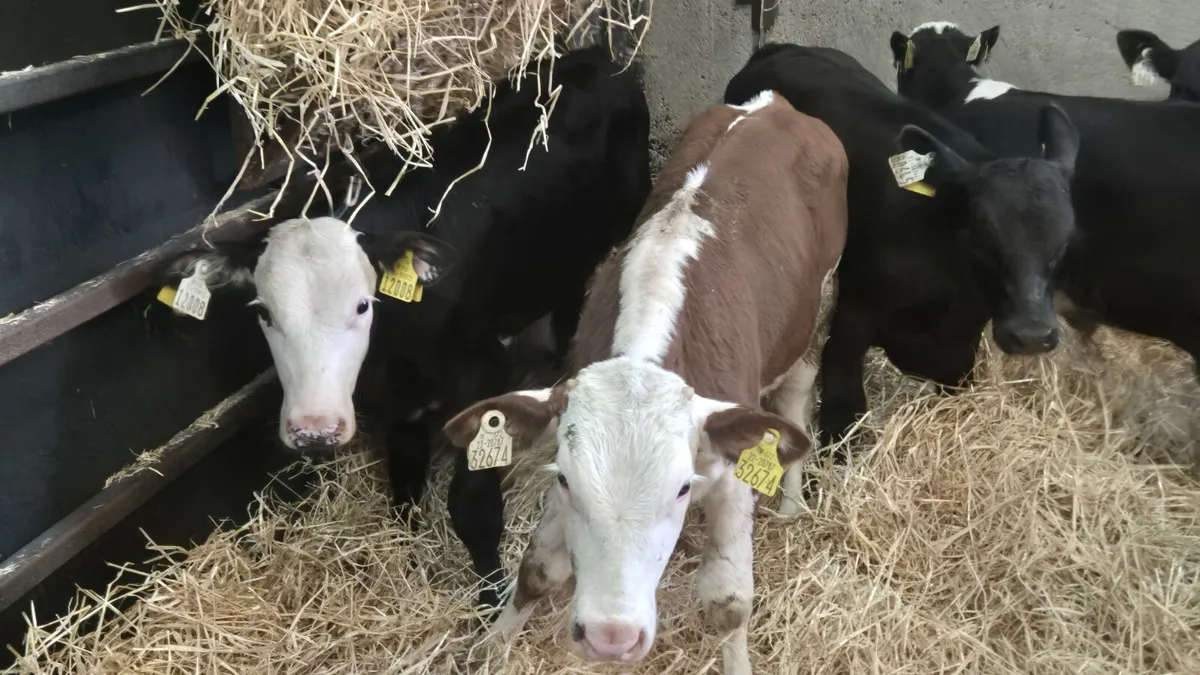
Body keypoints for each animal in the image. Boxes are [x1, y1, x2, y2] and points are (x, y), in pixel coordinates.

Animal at [152, 44, 652, 610]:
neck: (393, 356)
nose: (314, 429)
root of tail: (598, 54)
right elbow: (404, 484)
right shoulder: (400, 406)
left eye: (362, 305)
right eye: (263, 311)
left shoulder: (483, 374)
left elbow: (472, 507)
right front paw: (406, 556)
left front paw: (489, 597)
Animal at [441, 90, 847, 674]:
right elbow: (539, 569)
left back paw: (792, 502)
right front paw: (494, 644)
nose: (611, 636)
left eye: (681, 488)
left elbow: (728, 600)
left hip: (818, 307)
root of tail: (774, 104)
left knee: (796, 401)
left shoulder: (730, 475)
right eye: (566, 481)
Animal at [723, 44, 1080, 452]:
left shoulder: (960, 344)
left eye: (1066, 239)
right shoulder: (852, 316)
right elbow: (844, 407)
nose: (1033, 335)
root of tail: (783, 48)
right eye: (982, 232)